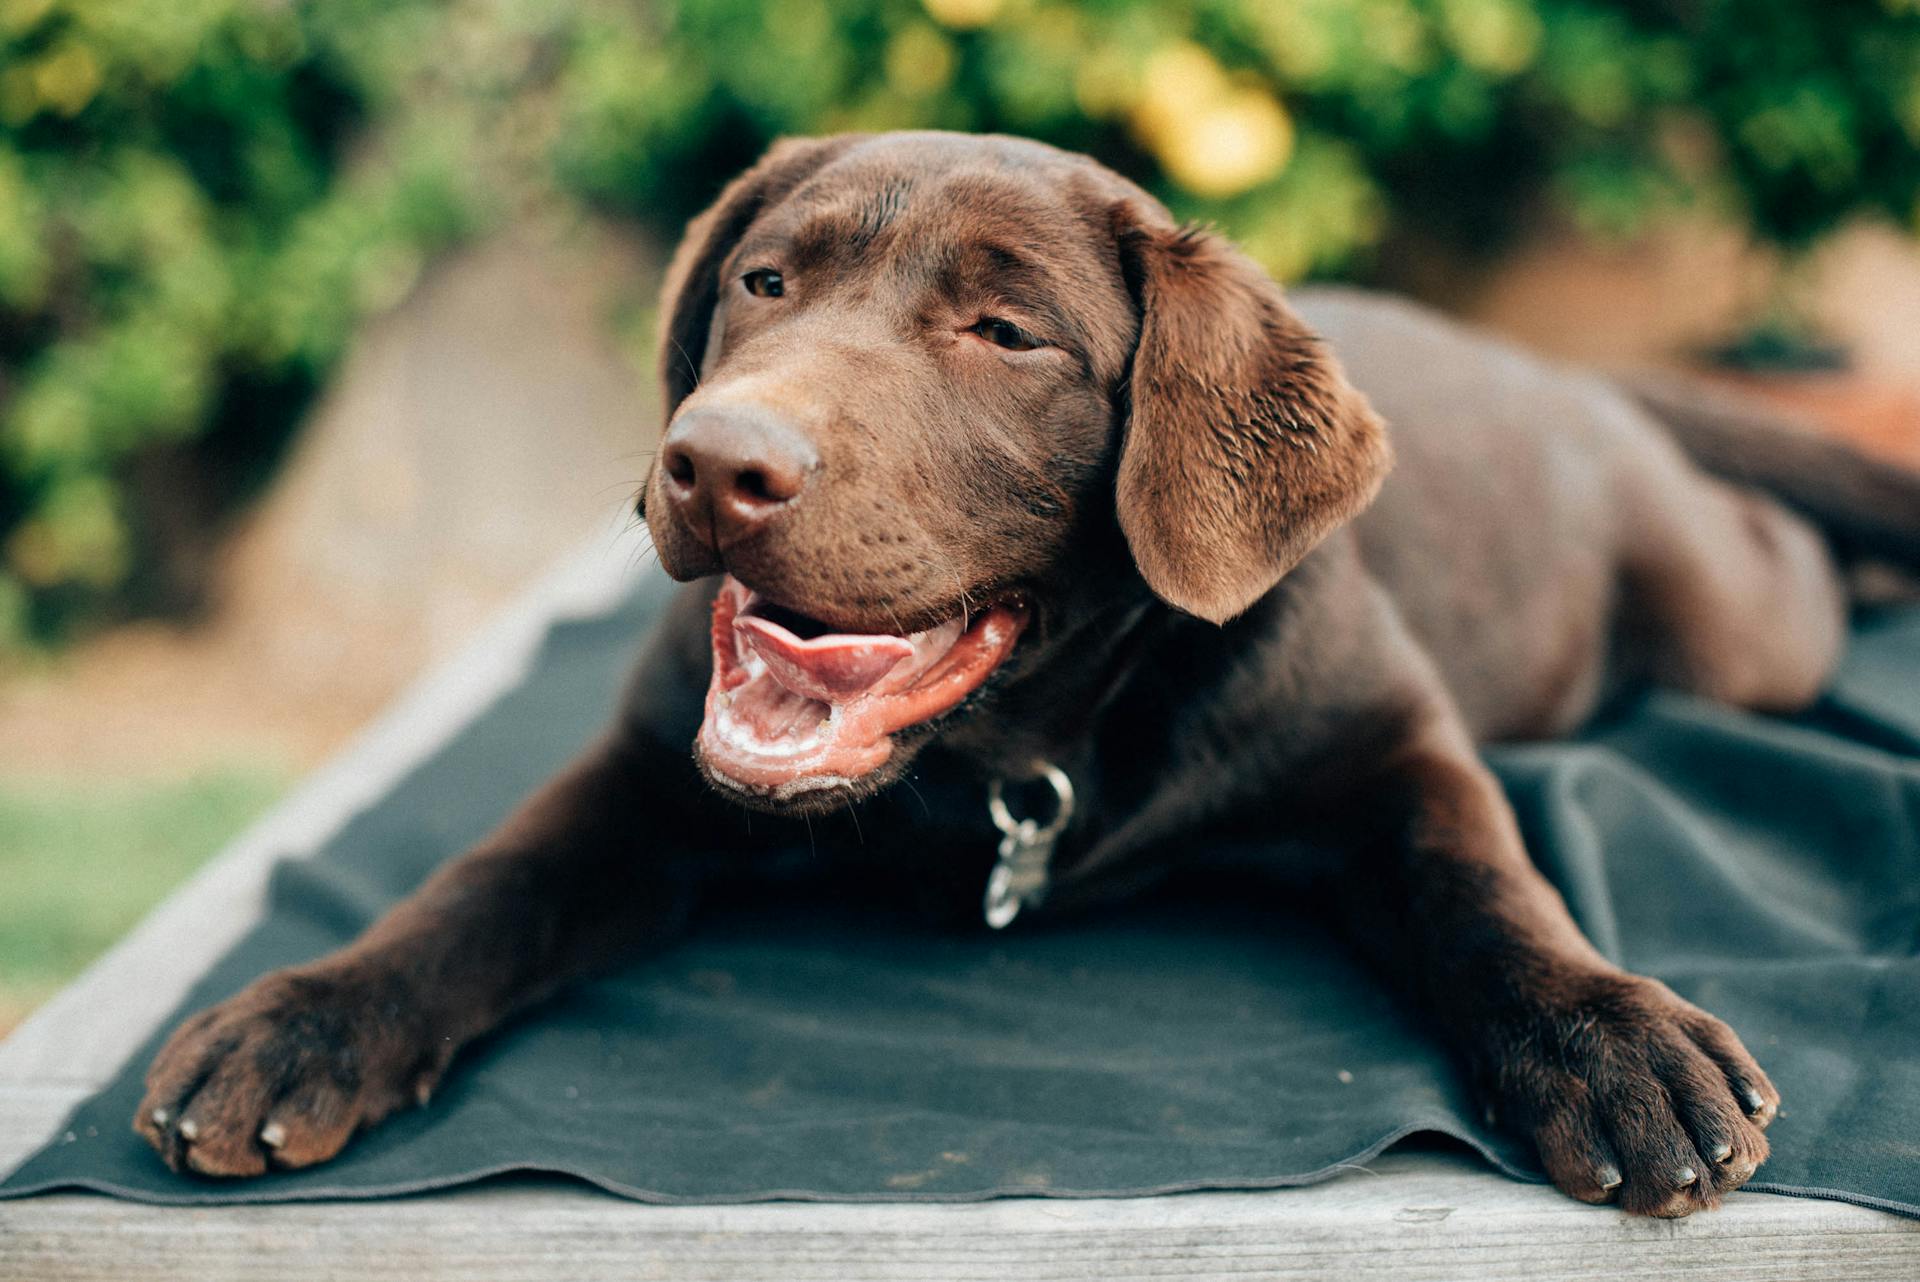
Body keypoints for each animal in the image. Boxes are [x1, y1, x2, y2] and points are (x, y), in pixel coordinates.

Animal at [139, 132, 1920, 1220]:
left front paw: (1615, 1046)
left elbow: (1486, 883)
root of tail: (1561, 374)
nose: (712, 462)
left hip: (1730, 622)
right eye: (762, 283)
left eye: (1007, 335)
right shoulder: (646, 772)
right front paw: (301, 1020)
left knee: (1780, 550)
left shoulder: (1397, 746)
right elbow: (486, 881)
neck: (1015, 757)